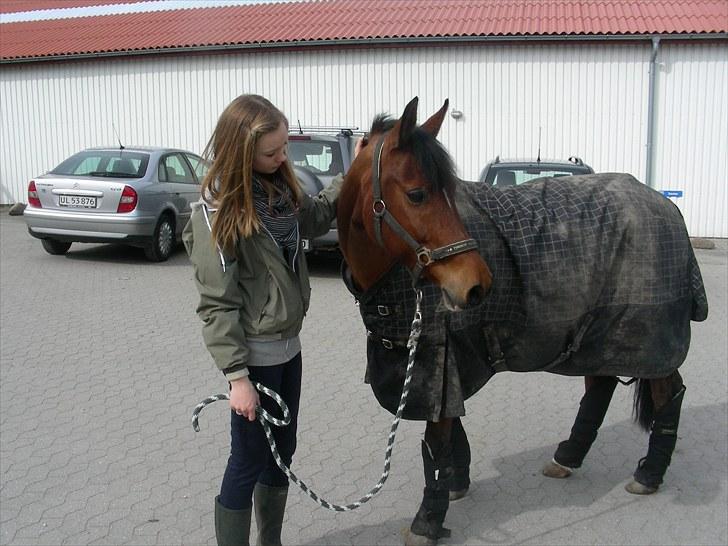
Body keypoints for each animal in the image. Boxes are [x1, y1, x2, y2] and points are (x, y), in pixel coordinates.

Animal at [338, 95, 708, 540]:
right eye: (417, 194)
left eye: (448, 191)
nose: (477, 285)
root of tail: (665, 203)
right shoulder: (437, 363)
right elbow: (450, 430)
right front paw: (456, 482)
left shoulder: (438, 361)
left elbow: (437, 439)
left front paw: (429, 518)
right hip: (598, 333)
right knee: (601, 387)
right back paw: (569, 456)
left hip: (650, 336)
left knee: (668, 393)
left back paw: (649, 473)